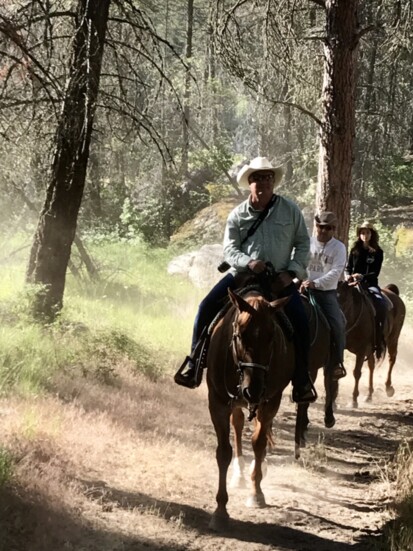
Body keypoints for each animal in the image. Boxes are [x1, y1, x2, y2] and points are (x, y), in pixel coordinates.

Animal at [206, 286, 332, 528]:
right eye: (239, 334)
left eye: (272, 336)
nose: (253, 390)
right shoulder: (217, 402)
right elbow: (223, 452)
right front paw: (220, 510)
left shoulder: (270, 401)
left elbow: (259, 443)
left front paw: (256, 494)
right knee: (237, 426)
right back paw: (240, 473)